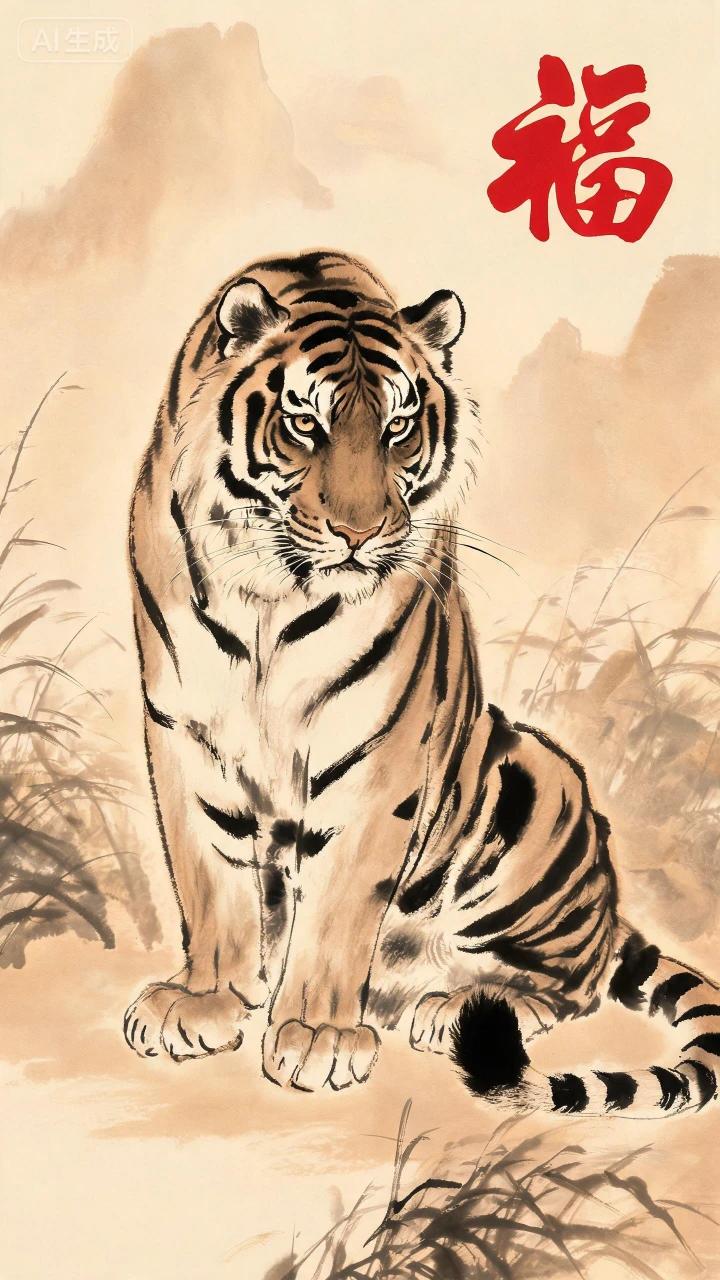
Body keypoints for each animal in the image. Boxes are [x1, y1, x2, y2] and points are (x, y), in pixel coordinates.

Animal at [124, 248, 719, 1116]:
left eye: (399, 428)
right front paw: (206, 1000)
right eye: (305, 424)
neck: (271, 591)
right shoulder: (183, 732)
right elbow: (209, 879)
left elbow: (340, 904)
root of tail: (611, 912)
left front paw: (317, 1035)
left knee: (572, 980)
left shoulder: (377, 752)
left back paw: (454, 1008)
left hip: (537, 780)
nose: (361, 532)